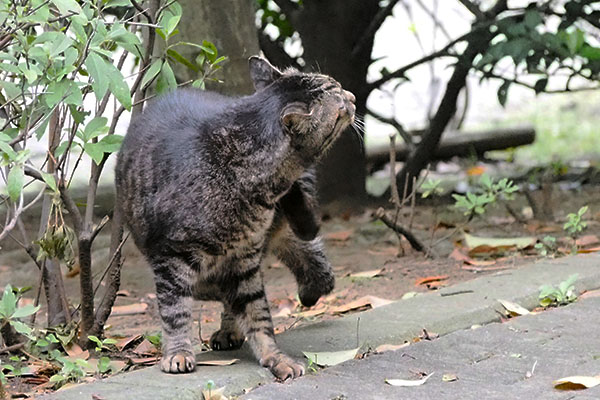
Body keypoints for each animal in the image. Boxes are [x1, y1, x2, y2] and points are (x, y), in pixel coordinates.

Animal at [115, 55, 354, 378]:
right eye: (338, 97)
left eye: (339, 87)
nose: (352, 97)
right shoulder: (171, 258)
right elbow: (175, 311)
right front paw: (178, 353)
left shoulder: (245, 259)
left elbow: (258, 313)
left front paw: (274, 356)